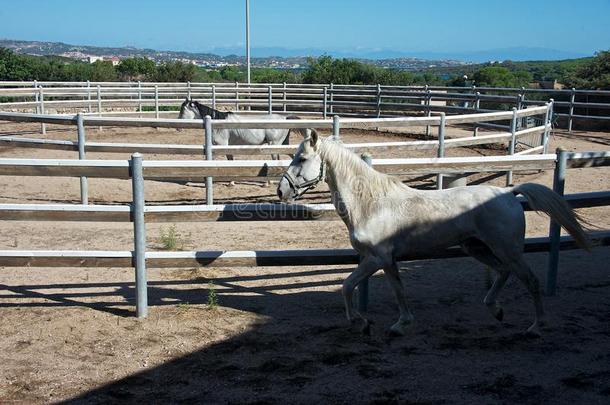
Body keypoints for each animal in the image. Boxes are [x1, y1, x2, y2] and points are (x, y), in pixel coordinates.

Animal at [276, 131, 588, 336]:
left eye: (301, 158)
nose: (282, 191)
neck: (371, 204)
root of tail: (509, 193)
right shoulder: (384, 260)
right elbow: (383, 288)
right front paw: (390, 323)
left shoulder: (378, 258)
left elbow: (351, 286)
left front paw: (369, 323)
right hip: (476, 247)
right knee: (503, 273)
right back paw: (495, 310)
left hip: (506, 250)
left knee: (531, 280)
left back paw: (535, 326)